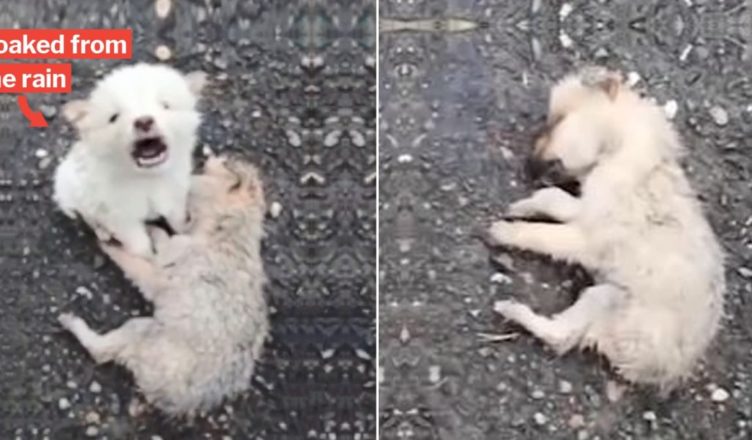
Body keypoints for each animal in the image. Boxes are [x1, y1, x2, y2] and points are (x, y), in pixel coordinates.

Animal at [53, 63, 207, 256]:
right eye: (113, 117)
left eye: (165, 106)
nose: (144, 121)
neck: (148, 178)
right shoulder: (121, 216)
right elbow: (140, 245)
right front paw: (148, 259)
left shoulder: (175, 194)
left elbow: (178, 220)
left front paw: (186, 232)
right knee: (89, 217)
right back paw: (102, 231)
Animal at [59, 156, 270, 416]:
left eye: (199, 174)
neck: (229, 228)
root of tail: (181, 402)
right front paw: (154, 229)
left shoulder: (165, 270)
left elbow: (139, 264)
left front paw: (119, 246)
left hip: (143, 331)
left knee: (102, 351)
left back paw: (74, 321)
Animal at [484, 67, 724, 390]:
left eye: (557, 120)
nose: (528, 165)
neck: (625, 153)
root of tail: (661, 371)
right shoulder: (585, 208)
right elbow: (553, 198)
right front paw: (523, 206)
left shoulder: (587, 237)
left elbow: (544, 234)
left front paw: (505, 231)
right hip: (605, 297)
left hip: (612, 305)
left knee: (559, 336)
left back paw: (512, 310)